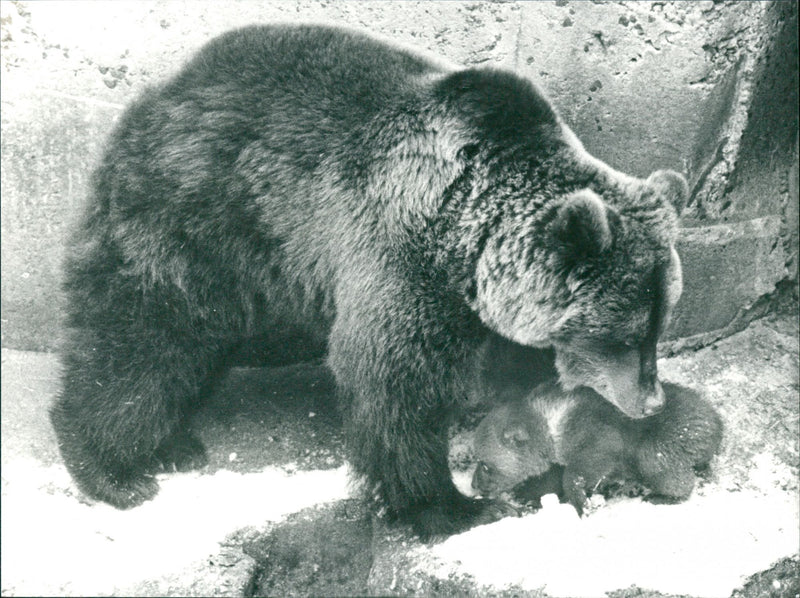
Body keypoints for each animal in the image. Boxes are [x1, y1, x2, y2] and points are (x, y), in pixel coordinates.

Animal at [50, 23, 688, 539]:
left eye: (658, 326)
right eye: (624, 336)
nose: (650, 401)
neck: (468, 240)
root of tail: (160, 90)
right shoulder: (398, 256)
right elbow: (392, 384)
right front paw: (448, 506)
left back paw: (172, 443)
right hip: (198, 212)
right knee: (151, 333)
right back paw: (113, 469)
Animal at [472, 381, 723, 515]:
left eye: (485, 465)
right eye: (479, 461)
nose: (473, 485)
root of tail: (715, 421)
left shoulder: (597, 436)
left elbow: (583, 468)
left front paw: (581, 501)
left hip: (665, 439)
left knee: (664, 468)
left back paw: (660, 495)